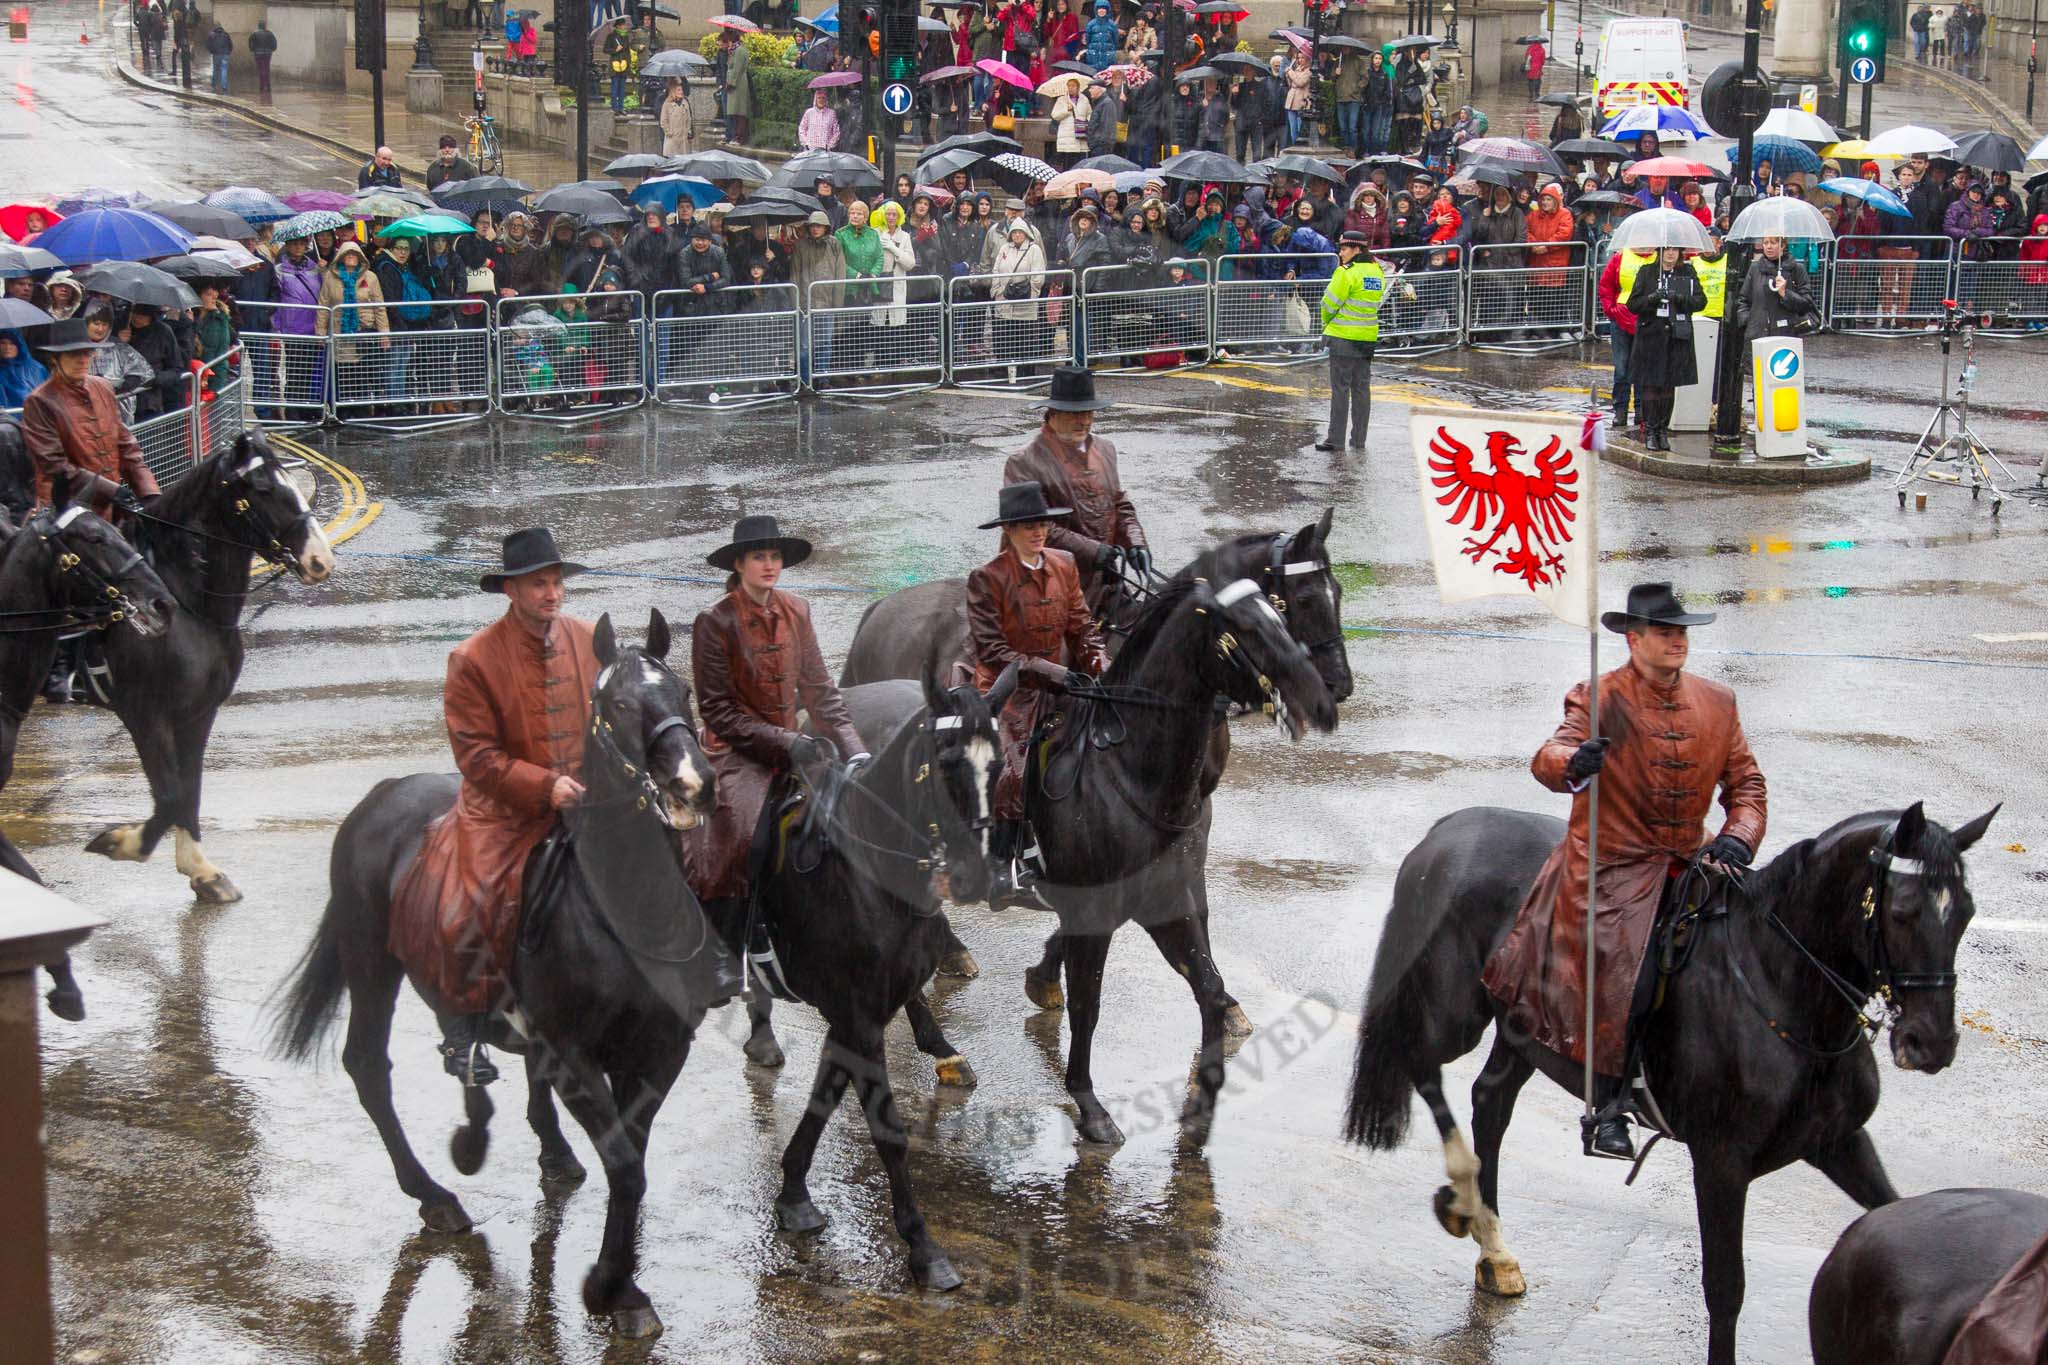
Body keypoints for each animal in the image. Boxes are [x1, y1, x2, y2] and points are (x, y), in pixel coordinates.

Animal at [79, 431, 333, 900]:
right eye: (263, 491)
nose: (320, 560)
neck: (183, 602)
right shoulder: (146, 716)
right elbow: (169, 795)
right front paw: (120, 842)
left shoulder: (198, 712)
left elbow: (189, 790)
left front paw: (201, 870)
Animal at [278, 613, 729, 1342]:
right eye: (618, 704)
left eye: (682, 691)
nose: (694, 784)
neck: (622, 905)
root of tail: (381, 796)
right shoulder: (576, 1056)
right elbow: (625, 1166)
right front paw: (612, 1288)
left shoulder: (660, 1054)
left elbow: (631, 1160)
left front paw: (623, 1282)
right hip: (371, 964)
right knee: (368, 1067)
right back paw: (434, 1194)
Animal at [1343, 802, 1998, 1365]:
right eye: (1903, 912)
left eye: (1965, 912)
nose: (1932, 1043)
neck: (1782, 989)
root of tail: (1447, 830)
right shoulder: (1720, 1162)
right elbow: (1725, 1289)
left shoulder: (1838, 1142)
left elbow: (1896, 1214)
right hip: (1456, 1013)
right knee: (1420, 1063)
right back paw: (1463, 1198)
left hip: (1527, 1032)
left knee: (1491, 1101)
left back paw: (1494, 1250)